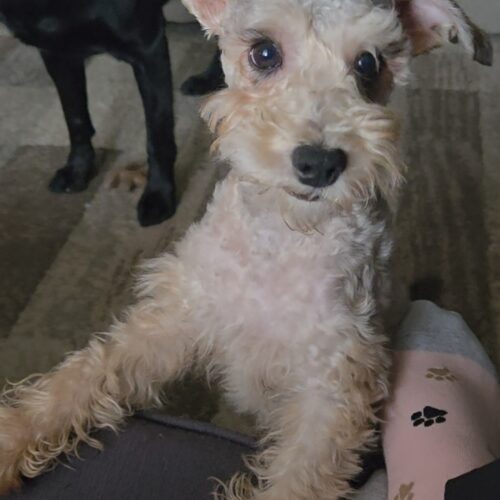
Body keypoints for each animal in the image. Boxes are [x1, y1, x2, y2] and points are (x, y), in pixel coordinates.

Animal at [0, 0, 223, 226]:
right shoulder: (56, 53)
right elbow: (75, 118)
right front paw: (78, 170)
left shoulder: (148, 49)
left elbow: (158, 134)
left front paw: (159, 195)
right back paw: (208, 79)